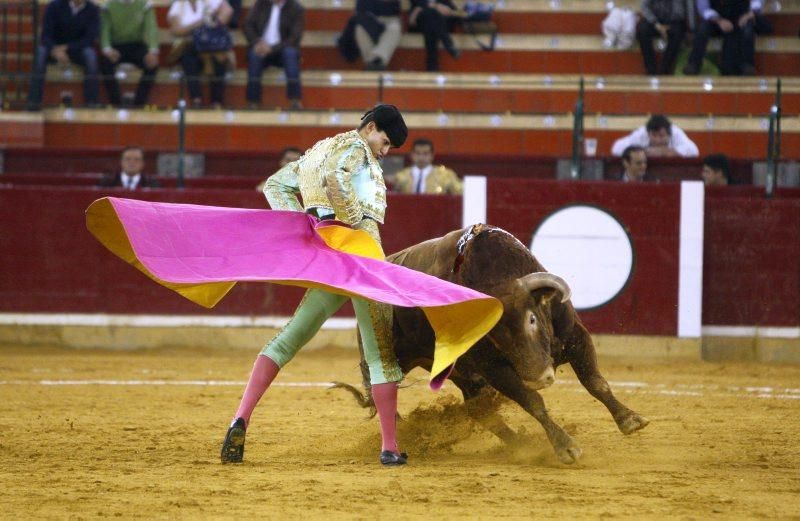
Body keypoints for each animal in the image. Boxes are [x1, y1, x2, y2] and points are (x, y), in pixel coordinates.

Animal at [340, 223, 648, 464]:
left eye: (532, 319)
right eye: (495, 336)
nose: (539, 377)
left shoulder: (576, 335)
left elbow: (595, 382)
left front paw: (630, 420)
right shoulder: (492, 368)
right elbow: (533, 401)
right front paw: (566, 447)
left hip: (462, 373)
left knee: (480, 410)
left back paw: (520, 444)